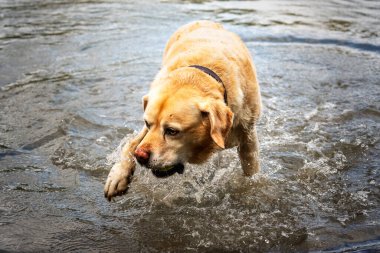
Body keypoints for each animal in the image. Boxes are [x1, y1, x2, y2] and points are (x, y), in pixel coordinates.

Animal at [105, 20, 262, 201]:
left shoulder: (248, 134)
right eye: (148, 123)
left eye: (172, 131)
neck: (198, 77)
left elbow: (251, 169)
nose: (140, 156)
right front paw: (118, 176)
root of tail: (203, 21)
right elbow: (131, 143)